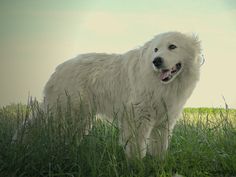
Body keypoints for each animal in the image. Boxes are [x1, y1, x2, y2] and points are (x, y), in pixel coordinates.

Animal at [43, 31, 201, 158]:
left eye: (172, 46)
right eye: (155, 49)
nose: (156, 61)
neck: (163, 84)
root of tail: (56, 70)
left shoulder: (164, 121)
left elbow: (159, 148)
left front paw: (159, 164)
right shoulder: (137, 116)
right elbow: (136, 146)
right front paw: (137, 164)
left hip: (81, 117)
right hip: (68, 113)